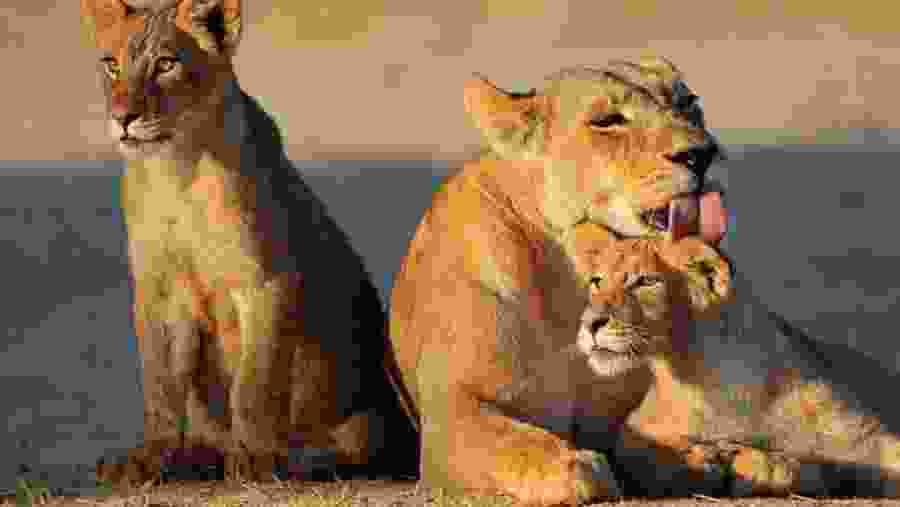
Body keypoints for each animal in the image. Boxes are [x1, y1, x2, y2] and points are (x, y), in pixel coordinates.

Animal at [79, 0, 417, 485]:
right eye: (111, 65)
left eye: (166, 64)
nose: (123, 118)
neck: (176, 170)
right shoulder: (158, 292)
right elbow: (160, 384)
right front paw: (149, 457)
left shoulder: (264, 282)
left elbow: (255, 381)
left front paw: (255, 456)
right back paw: (199, 456)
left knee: (367, 449)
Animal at [389, 57, 728, 505]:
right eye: (607, 121)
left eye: (687, 102)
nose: (702, 154)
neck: (571, 281)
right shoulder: (449, 414)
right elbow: (510, 443)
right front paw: (573, 466)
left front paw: (707, 458)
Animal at [576, 231, 900, 497]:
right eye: (597, 281)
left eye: (646, 281)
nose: (590, 323)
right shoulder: (640, 425)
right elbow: (637, 449)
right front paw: (705, 459)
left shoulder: (864, 437)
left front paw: (766, 465)